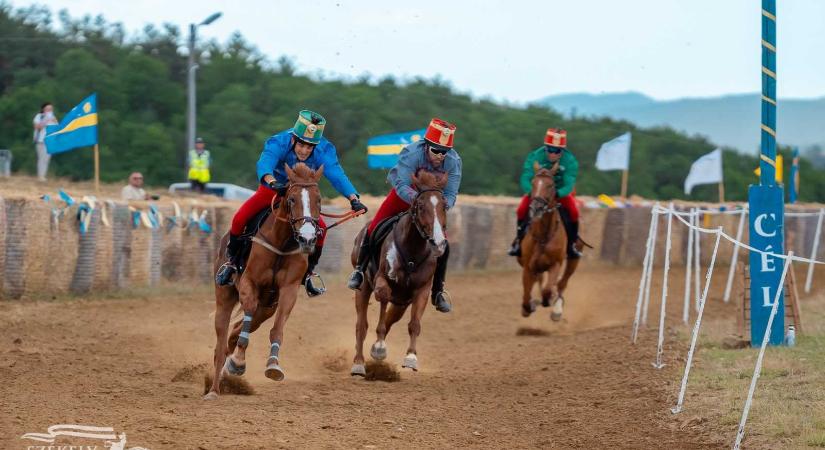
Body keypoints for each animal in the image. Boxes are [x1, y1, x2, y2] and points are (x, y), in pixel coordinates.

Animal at [204, 163, 324, 400]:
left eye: (318, 200)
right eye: (292, 199)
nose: (307, 238)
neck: (281, 242)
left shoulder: (288, 290)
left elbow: (277, 328)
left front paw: (273, 365)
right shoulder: (248, 283)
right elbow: (246, 315)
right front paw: (238, 362)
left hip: (266, 308)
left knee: (234, 333)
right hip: (224, 299)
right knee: (221, 343)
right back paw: (214, 388)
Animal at [350, 171, 450, 374]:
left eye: (444, 206)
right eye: (421, 206)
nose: (438, 242)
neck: (413, 251)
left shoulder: (422, 290)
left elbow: (414, 324)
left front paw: (411, 357)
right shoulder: (383, 280)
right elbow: (382, 301)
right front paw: (379, 348)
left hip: (402, 303)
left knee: (390, 319)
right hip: (363, 288)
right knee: (361, 325)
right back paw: (359, 363)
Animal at [520, 163, 584, 322]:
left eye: (550, 185)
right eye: (533, 183)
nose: (536, 207)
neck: (543, 235)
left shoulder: (555, 263)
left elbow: (549, 289)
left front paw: (548, 300)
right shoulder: (528, 265)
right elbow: (527, 290)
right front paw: (528, 307)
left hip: (574, 259)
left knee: (562, 282)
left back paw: (557, 309)